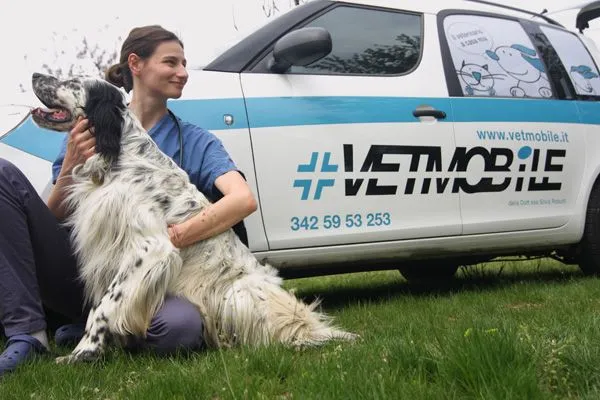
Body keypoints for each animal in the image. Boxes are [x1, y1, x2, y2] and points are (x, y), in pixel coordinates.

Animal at [30, 73, 356, 364]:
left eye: (72, 81)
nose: (34, 75)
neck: (119, 157)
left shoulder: (151, 249)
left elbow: (105, 305)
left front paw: (84, 352)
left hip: (237, 293)